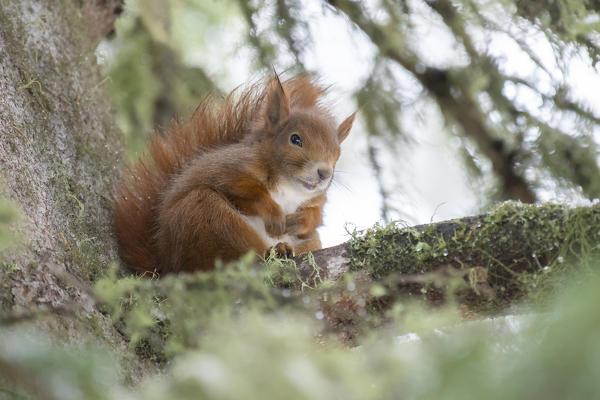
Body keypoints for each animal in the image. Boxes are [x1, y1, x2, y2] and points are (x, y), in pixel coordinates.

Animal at [113, 74, 356, 274]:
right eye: (295, 139)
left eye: (337, 153)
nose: (324, 173)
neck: (288, 187)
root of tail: (166, 265)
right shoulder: (229, 169)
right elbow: (246, 191)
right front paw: (275, 216)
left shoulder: (316, 199)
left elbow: (316, 216)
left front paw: (297, 220)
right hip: (205, 217)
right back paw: (271, 251)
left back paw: (283, 248)